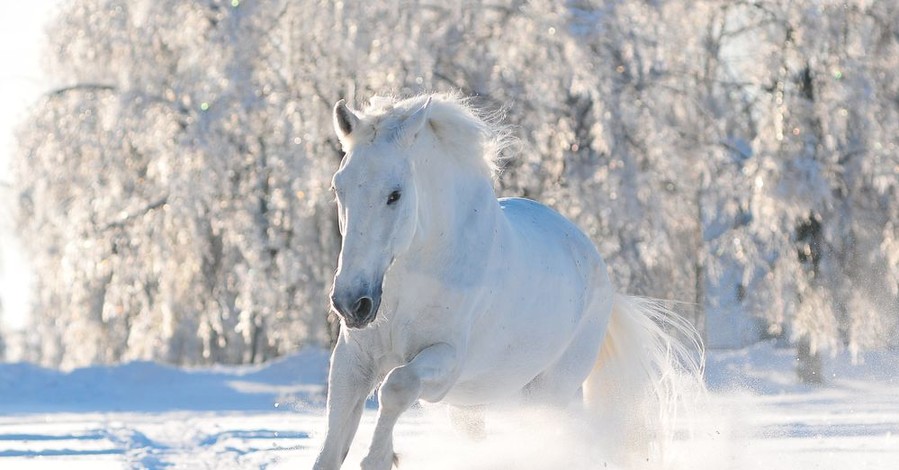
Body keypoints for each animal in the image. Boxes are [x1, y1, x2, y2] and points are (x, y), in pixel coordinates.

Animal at [314, 93, 704, 468]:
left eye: (394, 194)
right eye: (338, 188)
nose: (352, 302)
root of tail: (598, 269)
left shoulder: (447, 359)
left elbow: (396, 386)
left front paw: (380, 458)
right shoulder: (353, 361)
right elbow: (332, 447)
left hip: (545, 395)